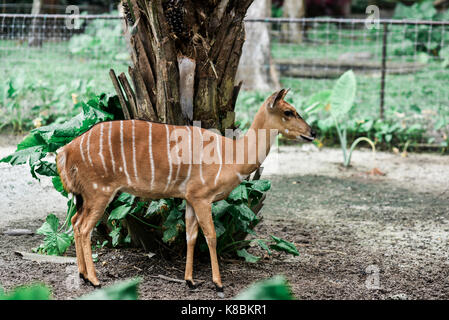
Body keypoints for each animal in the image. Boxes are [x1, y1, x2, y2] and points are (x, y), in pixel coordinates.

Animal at [56, 89, 314, 296]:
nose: (312, 133)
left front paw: (190, 281)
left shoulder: (189, 198)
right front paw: (218, 284)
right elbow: (211, 236)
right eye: (289, 111)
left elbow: (191, 235)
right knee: (84, 228)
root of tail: (65, 151)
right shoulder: (202, 197)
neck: (231, 156)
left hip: (84, 196)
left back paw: (82, 275)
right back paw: (95, 280)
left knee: (75, 221)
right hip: (99, 192)